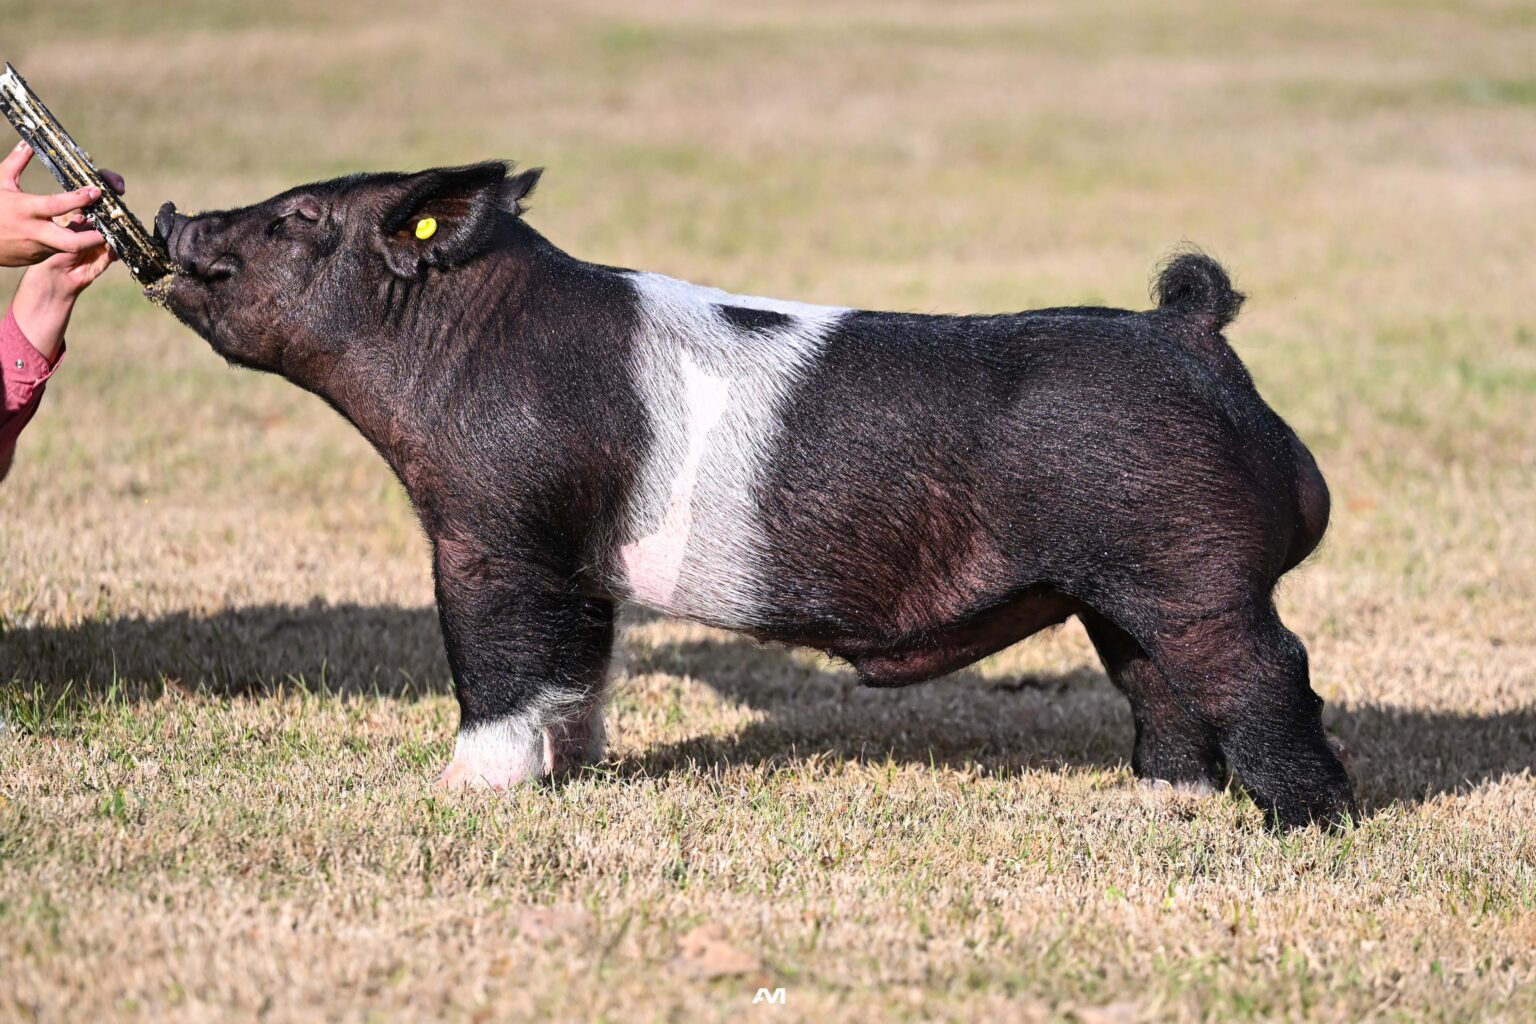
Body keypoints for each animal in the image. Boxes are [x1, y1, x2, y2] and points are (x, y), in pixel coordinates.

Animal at [154, 161, 1352, 829]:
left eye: (301, 219)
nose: (172, 216)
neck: (458, 343)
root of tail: (1189, 329)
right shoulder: (581, 566)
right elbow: (574, 671)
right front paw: (571, 775)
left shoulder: (495, 534)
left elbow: (495, 664)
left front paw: (462, 794)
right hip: (1122, 590)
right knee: (1161, 687)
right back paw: (1165, 809)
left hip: (1192, 572)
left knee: (1266, 671)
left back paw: (1301, 828)